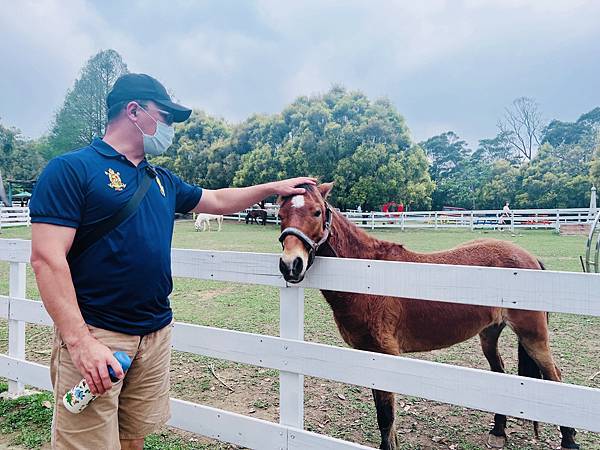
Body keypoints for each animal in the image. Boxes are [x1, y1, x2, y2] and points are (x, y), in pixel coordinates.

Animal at [276, 183, 576, 450]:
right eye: (280, 215)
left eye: (316, 212)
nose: (291, 265)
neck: (369, 275)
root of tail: (530, 259)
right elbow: (386, 417)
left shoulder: (386, 353)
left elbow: (386, 417)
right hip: (490, 334)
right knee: (500, 372)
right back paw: (499, 432)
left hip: (533, 336)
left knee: (555, 378)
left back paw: (569, 440)